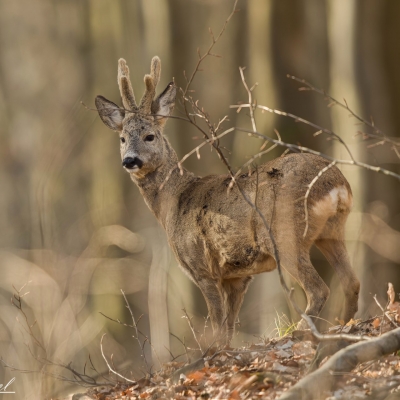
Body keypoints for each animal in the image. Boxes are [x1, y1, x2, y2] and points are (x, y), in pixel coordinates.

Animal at [95, 55, 360, 340]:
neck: (174, 201)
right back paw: (344, 329)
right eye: (122, 138)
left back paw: (300, 334)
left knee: (319, 289)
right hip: (332, 232)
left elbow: (217, 327)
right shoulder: (236, 277)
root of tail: (336, 183)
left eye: (150, 136)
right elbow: (229, 330)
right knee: (351, 282)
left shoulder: (202, 268)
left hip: (285, 233)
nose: (129, 160)